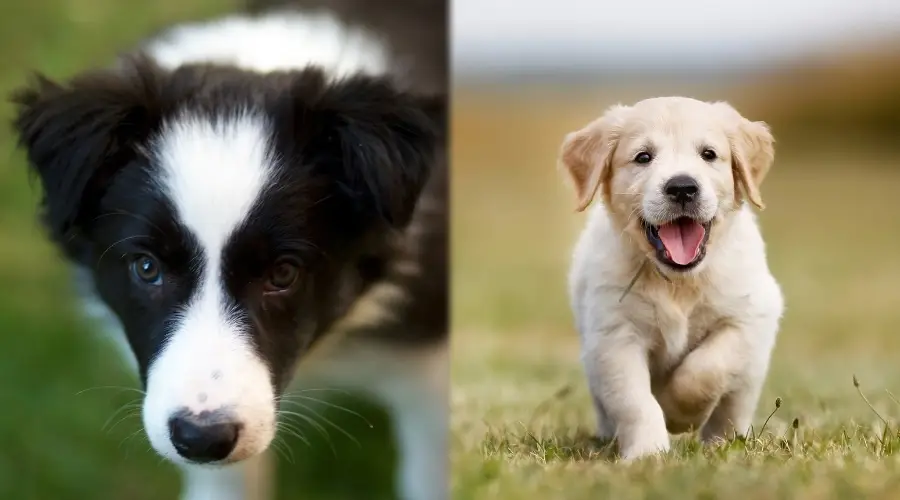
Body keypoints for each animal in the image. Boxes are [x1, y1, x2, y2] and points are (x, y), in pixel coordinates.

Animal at [560, 96, 784, 460]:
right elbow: (635, 402)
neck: (679, 282)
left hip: (751, 372)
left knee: (733, 405)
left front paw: (680, 413)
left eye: (708, 154)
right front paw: (648, 453)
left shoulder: (750, 316)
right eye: (643, 157)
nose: (682, 187)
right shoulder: (614, 336)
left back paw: (724, 442)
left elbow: (707, 368)